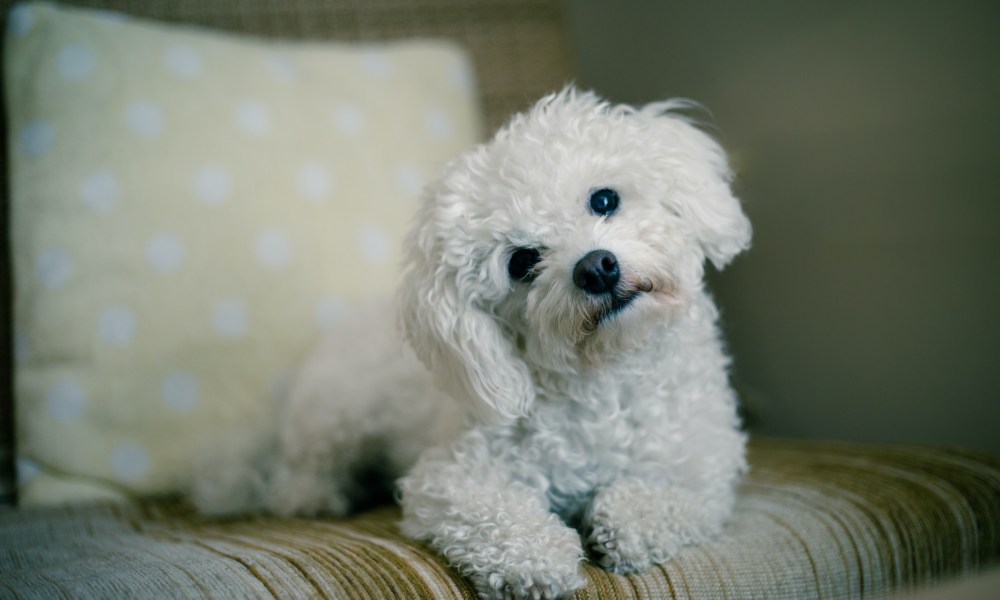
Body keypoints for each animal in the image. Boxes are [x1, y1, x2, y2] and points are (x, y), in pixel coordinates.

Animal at [191, 85, 752, 600]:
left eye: (604, 199)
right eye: (522, 261)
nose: (595, 267)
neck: (605, 380)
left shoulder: (706, 470)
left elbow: (656, 503)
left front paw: (623, 524)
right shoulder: (452, 475)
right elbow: (498, 517)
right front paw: (539, 557)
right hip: (333, 415)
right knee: (297, 471)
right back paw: (315, 496)